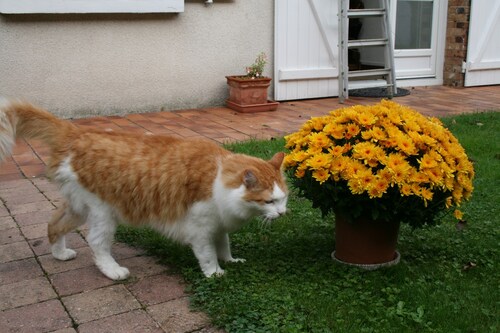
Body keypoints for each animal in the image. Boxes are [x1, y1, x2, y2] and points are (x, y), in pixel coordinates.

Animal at [0, 100, 288, 278]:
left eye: (284, 199)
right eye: (269, 202)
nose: (284, 214)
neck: (218, 176)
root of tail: (77, 133)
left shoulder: (218, 225)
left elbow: (224, 246)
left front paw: (230, 261)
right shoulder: (200, 229)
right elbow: (208, 256)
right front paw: (215, 274)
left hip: (78, 208)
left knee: (54, 225)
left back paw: (60, 254)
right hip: (103, 213)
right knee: (97, 244)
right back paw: (112, 271)